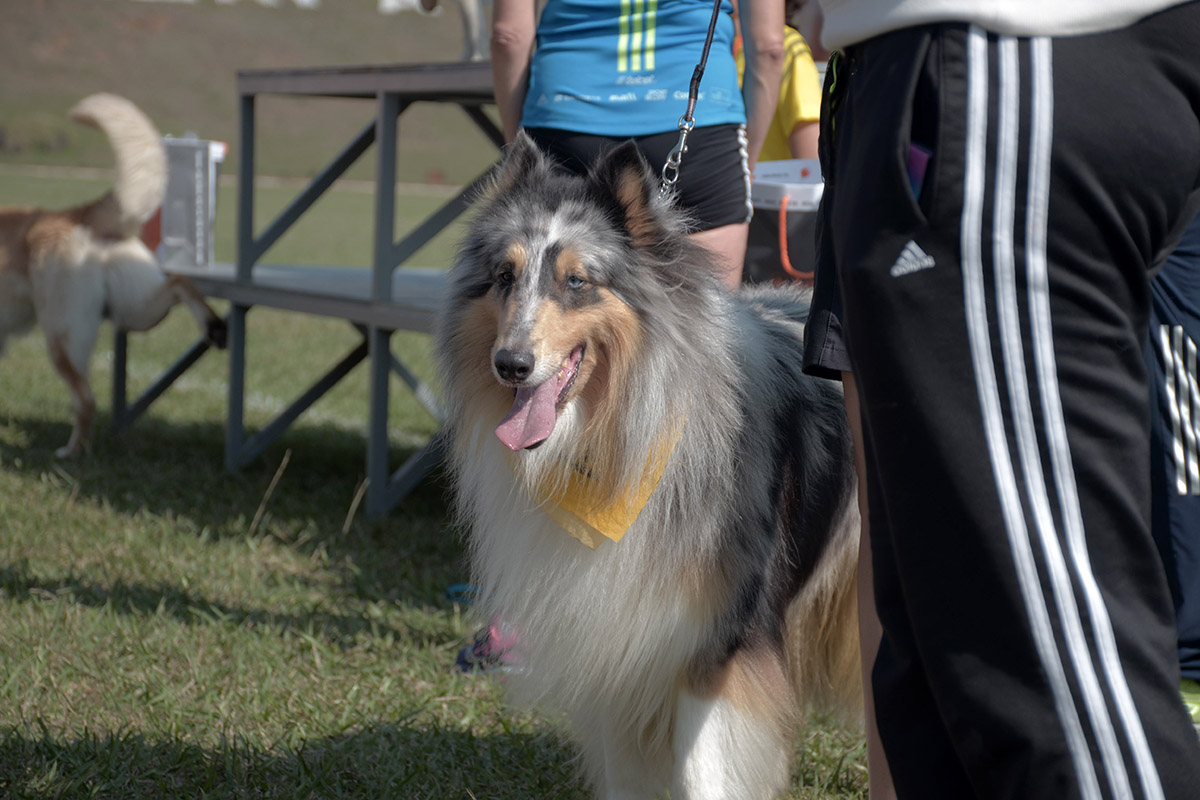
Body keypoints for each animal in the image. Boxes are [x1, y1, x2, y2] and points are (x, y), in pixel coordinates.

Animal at [0, 94, 226, 455]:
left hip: (62, 340)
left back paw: (71, 452)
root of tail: (73, 213)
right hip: (137, 312)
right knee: (180, 283)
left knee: (86, 400)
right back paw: (215, 327)